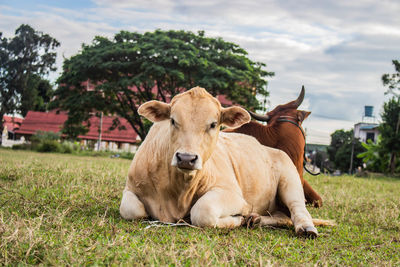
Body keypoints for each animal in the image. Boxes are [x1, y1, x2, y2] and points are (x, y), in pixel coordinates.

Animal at [120, 87, 332, 238]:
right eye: (172, 120)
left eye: (214, 124)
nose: (186, 158)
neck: (177, 190)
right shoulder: (130, 188)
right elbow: (130, 209)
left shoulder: (232, 195)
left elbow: (203, 211)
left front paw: (237, 219)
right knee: (282, 216)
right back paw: (255, 220)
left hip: (291, 182)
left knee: (297, 209)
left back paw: (305, 228)